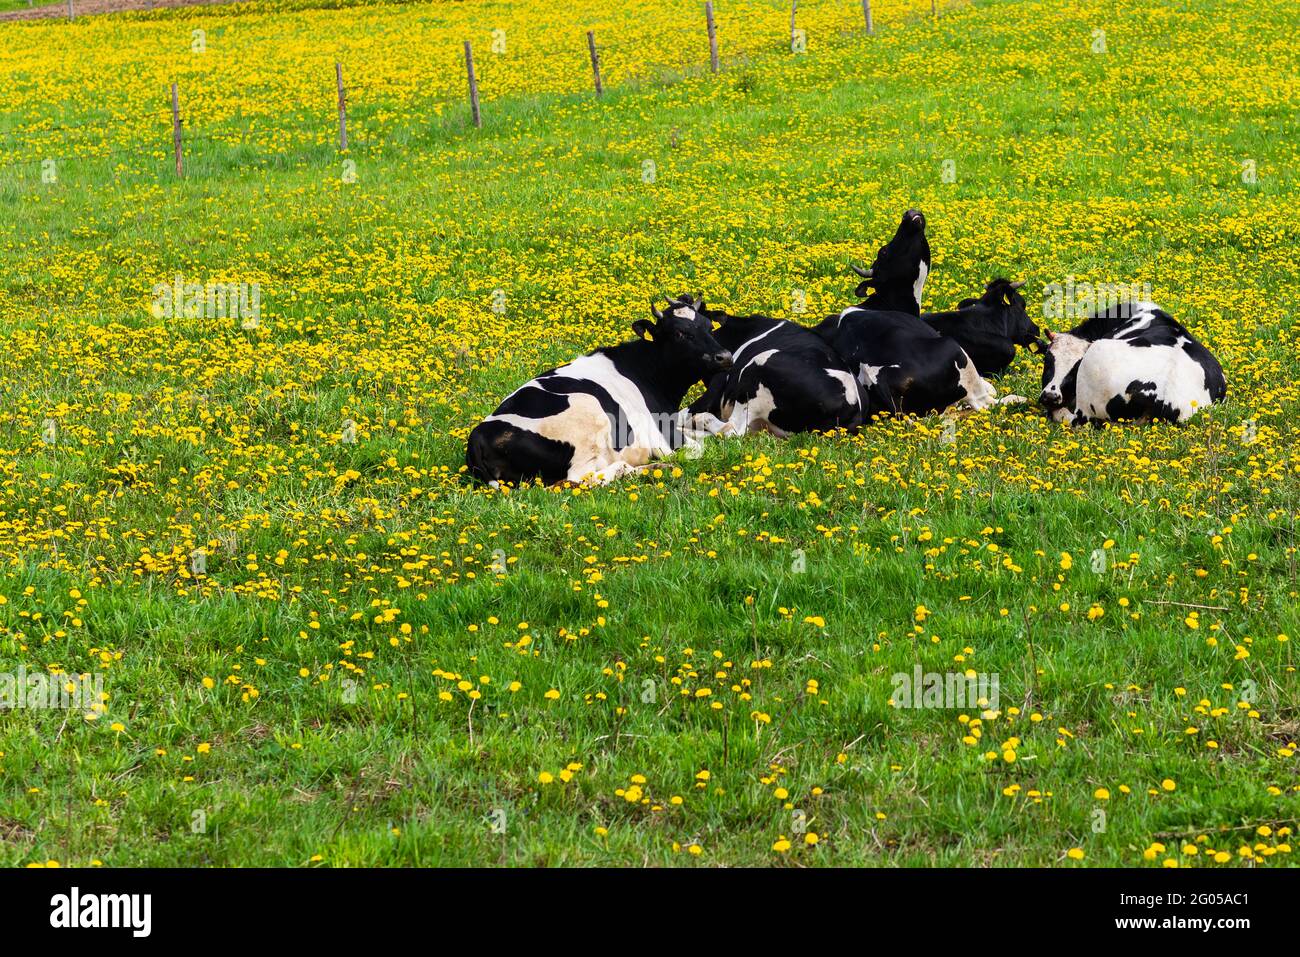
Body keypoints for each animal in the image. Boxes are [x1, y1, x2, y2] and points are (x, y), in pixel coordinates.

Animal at [465, 297, 733, 486]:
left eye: (709, 326)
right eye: (679, 333)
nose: (725, 356)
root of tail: (477, 435)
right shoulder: (663, 437)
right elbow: (697, 449)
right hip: (588, 408)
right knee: (580, 479)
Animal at [812, 209, 1020, 416]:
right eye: (883, 250)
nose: (908, 213)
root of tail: (879, 380)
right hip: (954, 349)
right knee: (985, 401)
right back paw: (1014, 398)